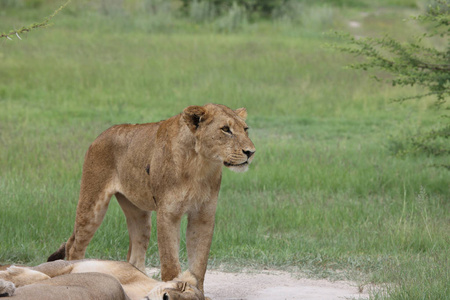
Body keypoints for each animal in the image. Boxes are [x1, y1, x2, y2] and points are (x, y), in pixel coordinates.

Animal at [48, 103, 256, 292]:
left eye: (245, 129)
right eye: (226, 129)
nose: (251, 152)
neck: (200, 165)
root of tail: (101, 135)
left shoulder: (203, 216)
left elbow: (198, 266)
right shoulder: (168, 214)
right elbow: (170, 263)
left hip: (139, 214)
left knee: (134, 257)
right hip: (92, 206)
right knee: (74, 247)